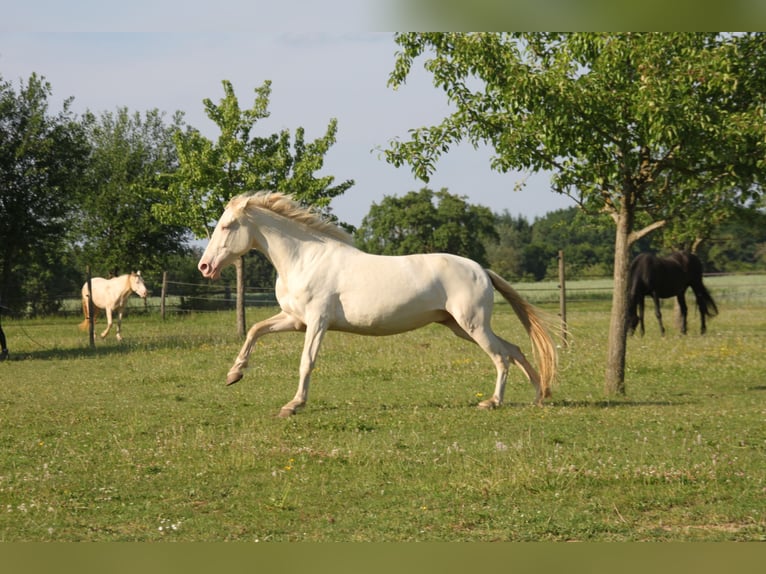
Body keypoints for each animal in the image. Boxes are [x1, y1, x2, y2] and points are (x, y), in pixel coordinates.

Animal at [197, 191, 557, 418]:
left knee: (500, 357)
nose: (204, 267)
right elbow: (255, 331)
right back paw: (539, 395)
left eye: (227, 226)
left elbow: (306, 362)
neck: (305, 258)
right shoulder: (294, 319)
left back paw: (493, 402)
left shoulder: (316, 322)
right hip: (459, 326)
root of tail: (481, 269)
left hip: (472, 325)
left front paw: (293, 405)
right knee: (514, 349)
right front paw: (234, 374)